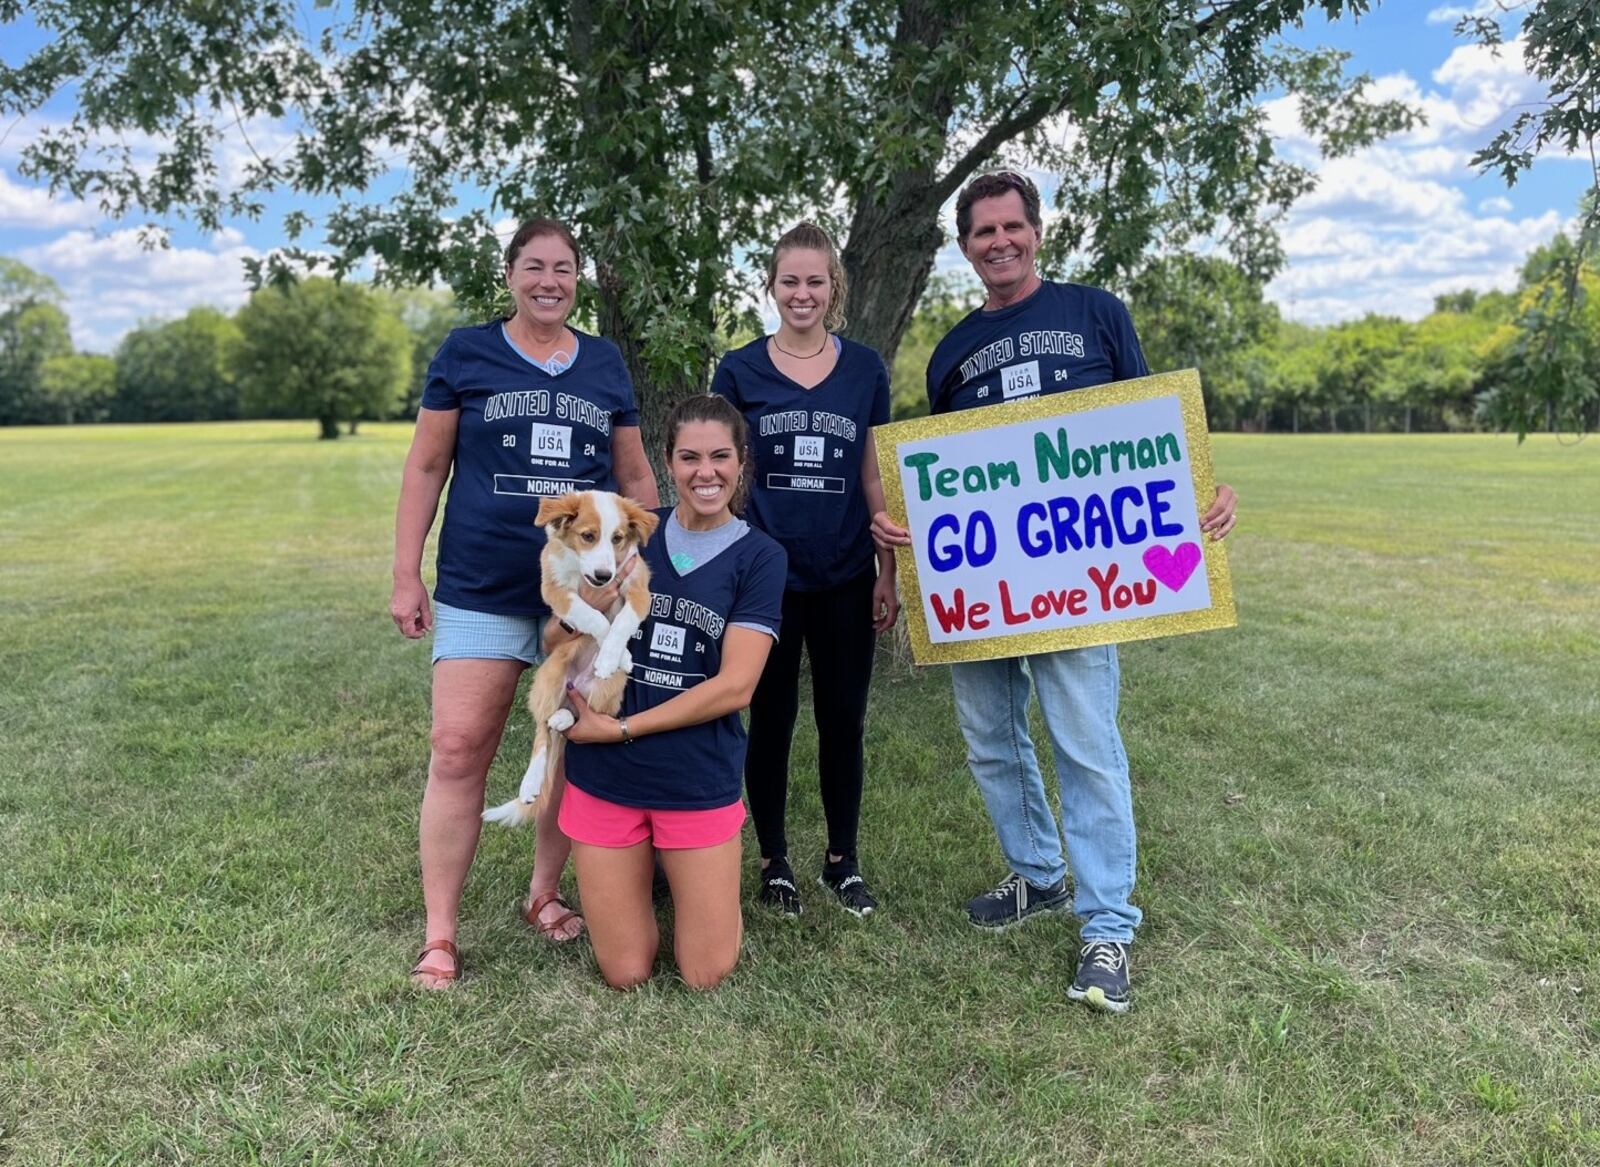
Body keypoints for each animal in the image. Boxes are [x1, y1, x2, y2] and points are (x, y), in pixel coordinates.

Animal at [486, 493, 662, 826]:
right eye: (588, 536)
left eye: (617, 538)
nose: (604, 576)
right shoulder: (556, 590)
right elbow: (593, 615)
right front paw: (621, 655)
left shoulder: (638, 589)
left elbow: (623, 621)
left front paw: (612, 657)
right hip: (551, 674)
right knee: (542, 732)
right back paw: (530, 782)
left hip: (607, 692)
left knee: (579, 719)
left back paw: (565, 717)